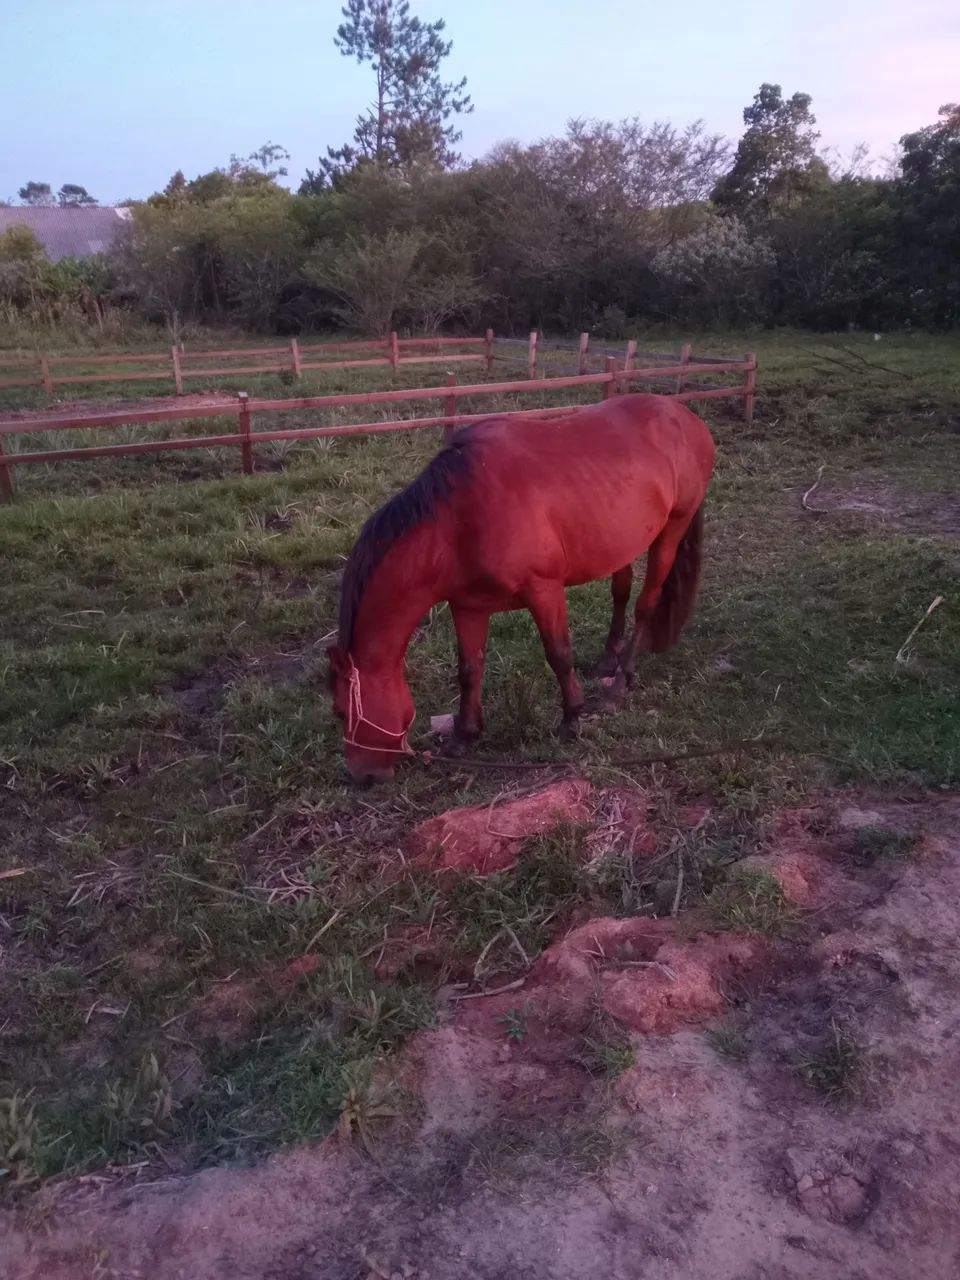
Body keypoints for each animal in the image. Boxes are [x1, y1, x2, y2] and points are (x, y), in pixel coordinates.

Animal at [328, 393, 716, 783]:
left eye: (342, 712)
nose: (362, 777)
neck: (457, 523)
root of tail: (685, 417)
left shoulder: (543, 591)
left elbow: (558, 654)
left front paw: (571, 719)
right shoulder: (468, 605)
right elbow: (469, 669)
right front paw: (465, 736)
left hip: (670, 531)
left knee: (645, 604)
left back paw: (621, 681)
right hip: (623, 541)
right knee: (620, 592)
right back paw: (608, 659)